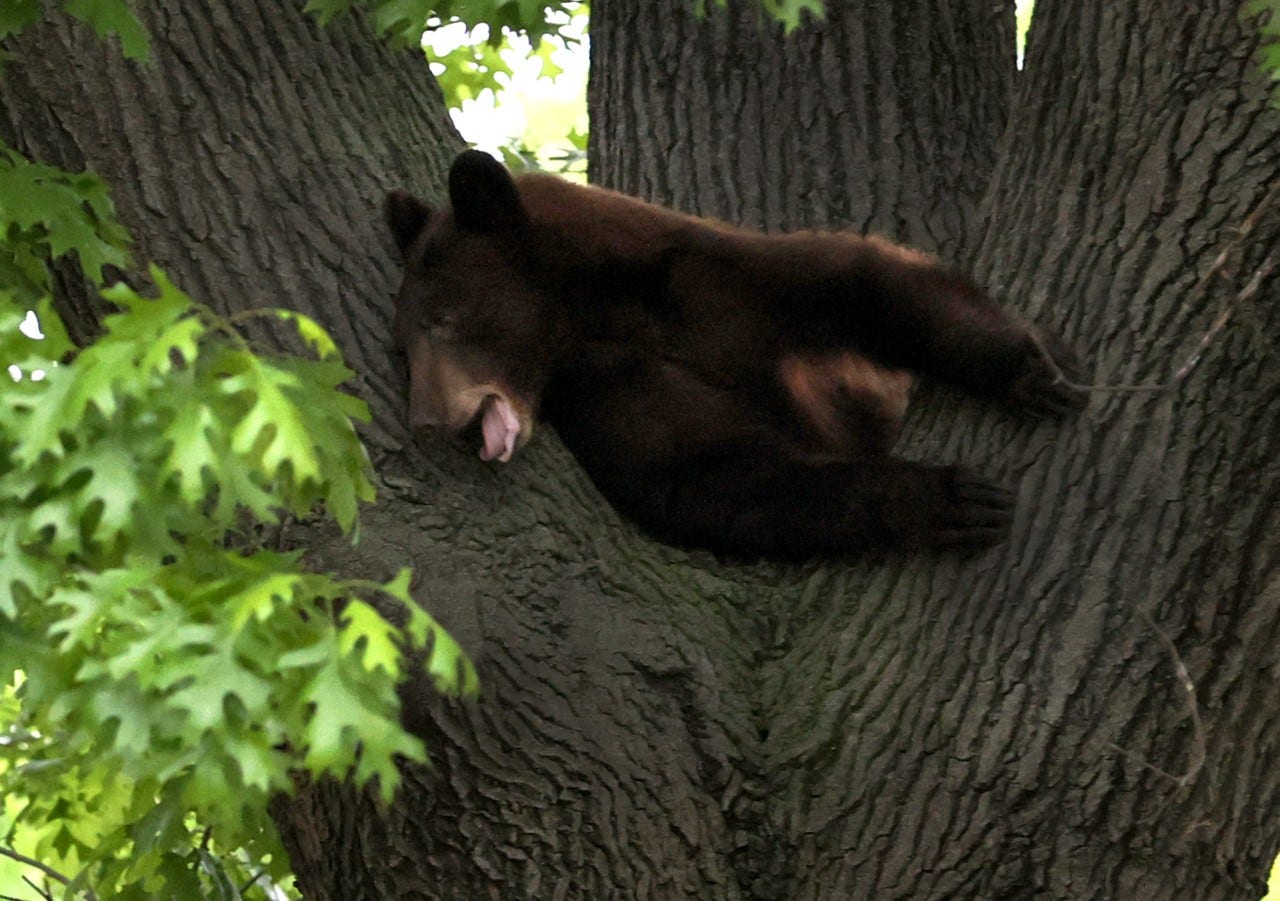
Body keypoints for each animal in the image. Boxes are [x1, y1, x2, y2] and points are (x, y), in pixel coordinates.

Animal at [384, 149, 1087, 559]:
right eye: (404, 346)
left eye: (443, 318)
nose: (427, 419)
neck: (592, 313)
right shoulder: (610, 384)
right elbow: (709, 475)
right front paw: (948, 499)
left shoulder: (715, 286)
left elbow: (867, 283)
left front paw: (1032, 368)